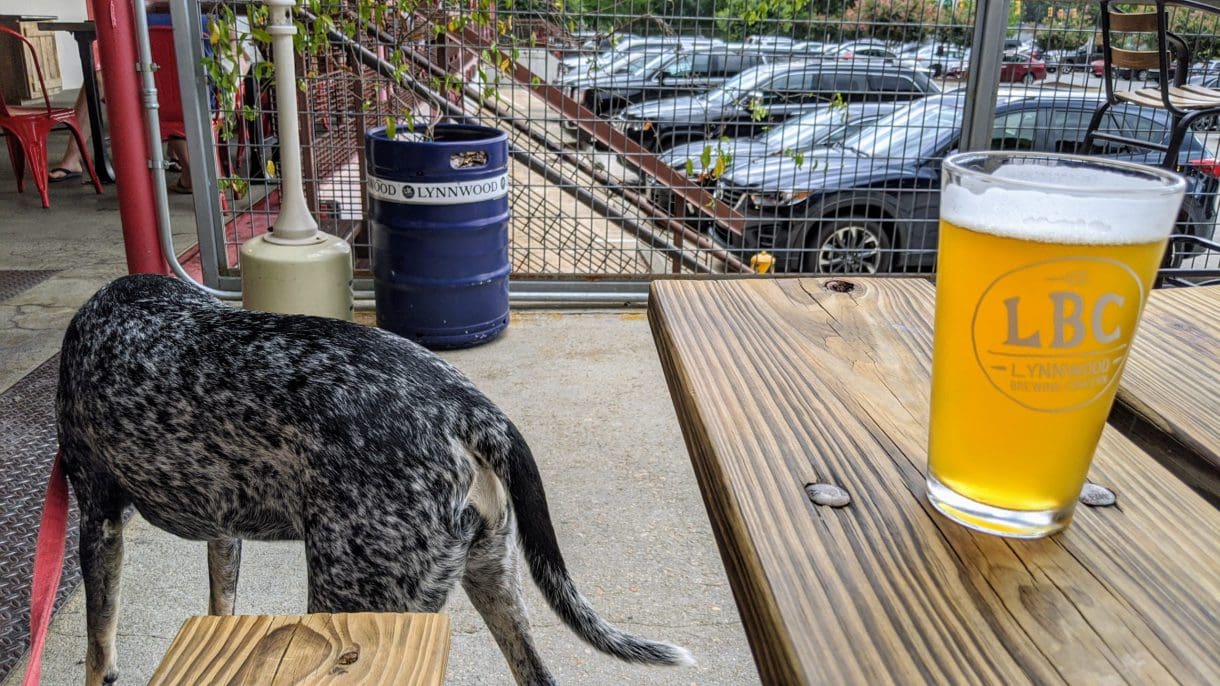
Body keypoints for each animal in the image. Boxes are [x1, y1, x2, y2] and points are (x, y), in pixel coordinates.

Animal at [57, 272, 692, 683]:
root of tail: (468, 408)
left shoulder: (99, 520)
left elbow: (98, 647)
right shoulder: (223, 529)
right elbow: (221, 602)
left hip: (353, 601)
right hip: (494, 581)